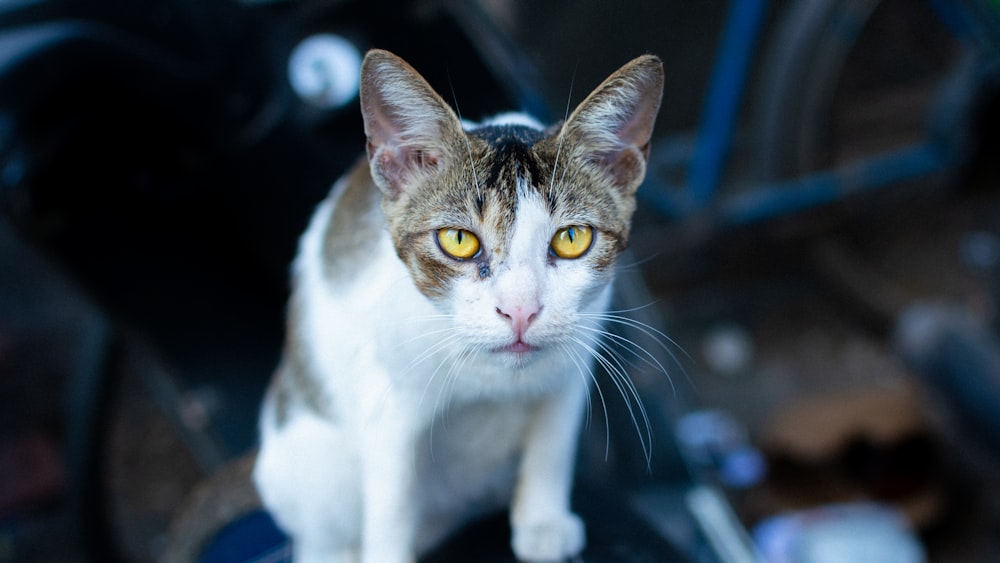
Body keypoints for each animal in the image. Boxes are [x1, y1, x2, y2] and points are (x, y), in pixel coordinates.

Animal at [252, 49, 664, 563]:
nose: (520, 311)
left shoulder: (577, 354)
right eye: (458, 240)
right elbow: (391, 500)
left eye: (572, 238)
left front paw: (542, 522)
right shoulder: (387, 400)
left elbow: (554, 439)